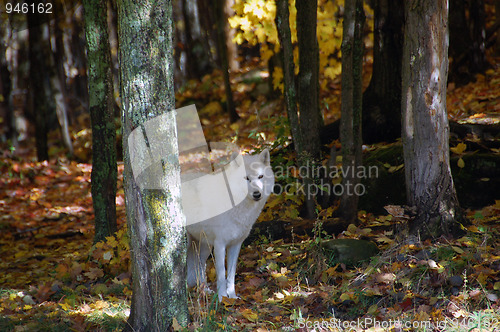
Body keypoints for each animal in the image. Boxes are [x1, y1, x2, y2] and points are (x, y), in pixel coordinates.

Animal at [187, 149, 276, 300]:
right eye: (246, 178)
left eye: (260, 176)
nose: (257, 194)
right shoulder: (220, 244)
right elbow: (221, 274)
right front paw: (222, 298)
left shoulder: (236, 244)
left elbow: (231, 274)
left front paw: (232, 297)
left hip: (204, 246)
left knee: (198, 266)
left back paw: (205, 291)